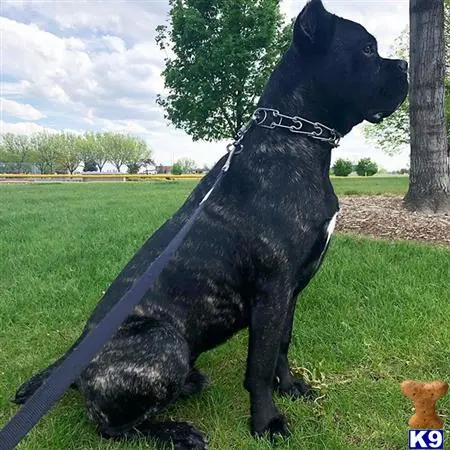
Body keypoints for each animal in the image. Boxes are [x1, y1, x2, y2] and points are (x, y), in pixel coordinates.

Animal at [13, 1, 408, 448]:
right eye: (367, 49)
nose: (405, 65)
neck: (295, 143)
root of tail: (74, 371)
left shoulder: (290, 292)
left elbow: (282, 345)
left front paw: (290, 387)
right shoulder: (272, 289)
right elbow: (259, 365)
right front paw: (266, 422)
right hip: (163, 341)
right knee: (110, 427)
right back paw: (176, 432)